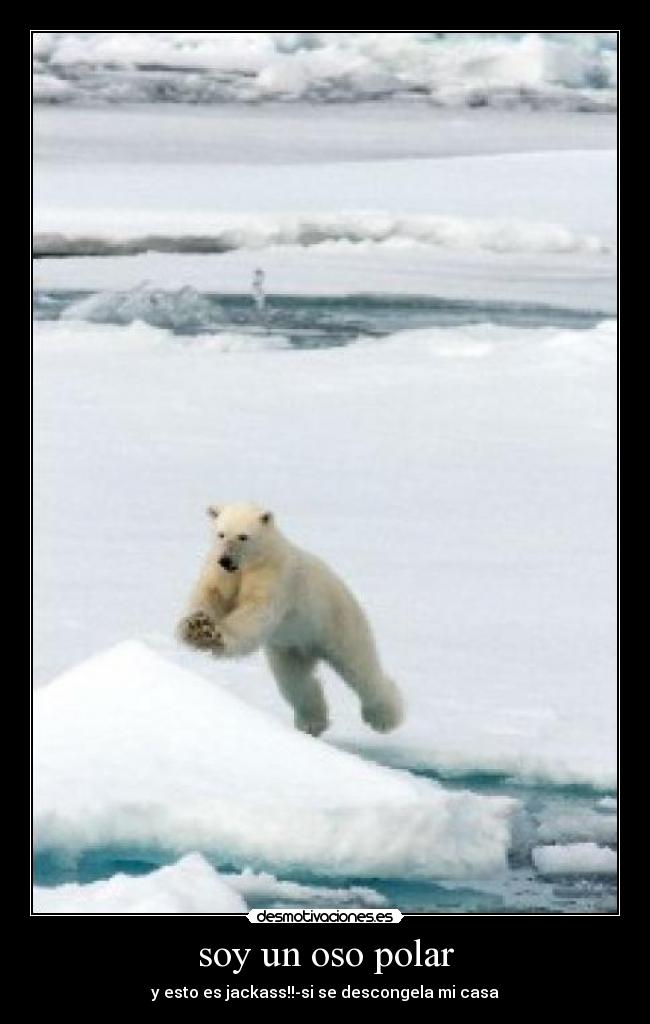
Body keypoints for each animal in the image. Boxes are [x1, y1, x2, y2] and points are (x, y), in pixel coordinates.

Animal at [175, 503, 405, 737]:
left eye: (243, 536)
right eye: (221, 533)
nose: (226, 560)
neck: (254, 561)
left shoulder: (274, 576)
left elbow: (255, 611)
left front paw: (214, 635)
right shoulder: (220, 573)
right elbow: (209, 596)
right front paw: (195, 628)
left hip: (337, 621)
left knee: (359, 668)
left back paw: (384, 718)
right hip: (290, 647)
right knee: (295, 681)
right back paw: (312, 723)